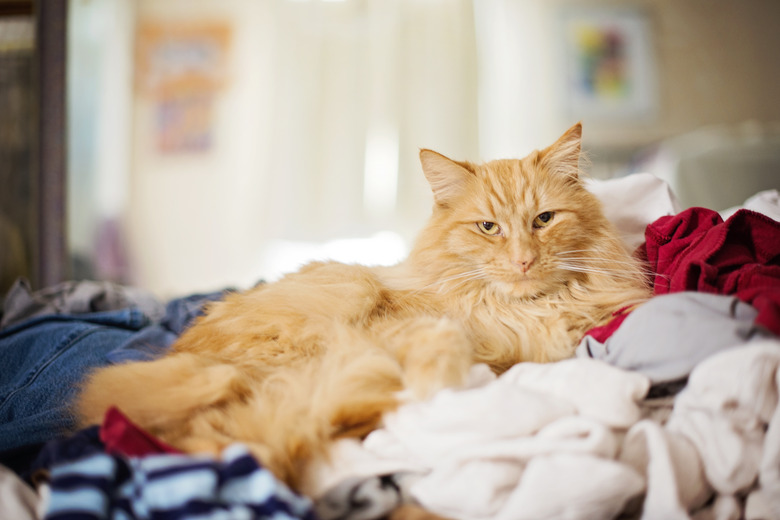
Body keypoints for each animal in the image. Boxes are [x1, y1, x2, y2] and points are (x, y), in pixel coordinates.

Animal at [77, 124, 652, 490]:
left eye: (544, 220)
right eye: (489, 227)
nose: (524, 260)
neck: (518, 313)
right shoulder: (410, 331)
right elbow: (443, 345)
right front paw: (440, 383)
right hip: (338, 300)